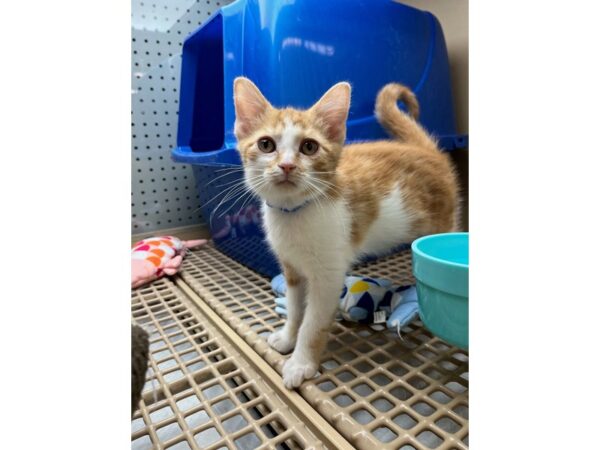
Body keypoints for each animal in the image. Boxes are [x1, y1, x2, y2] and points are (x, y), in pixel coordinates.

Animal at [232, 76, 458, 386]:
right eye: (266, 144)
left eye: (309, 147)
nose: (287, 166)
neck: (295, 213)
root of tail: (427, 151)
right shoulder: (291, 267)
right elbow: (295, 308)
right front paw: (288, 337)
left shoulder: (328, 275)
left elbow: (312, 323)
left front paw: (301, 362)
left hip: (444, 221)